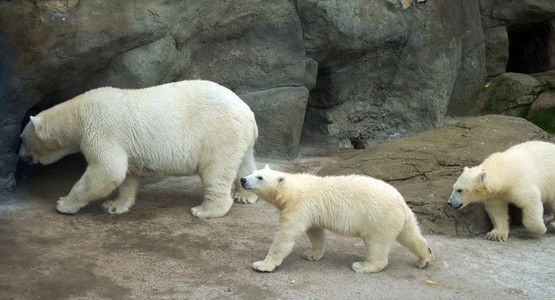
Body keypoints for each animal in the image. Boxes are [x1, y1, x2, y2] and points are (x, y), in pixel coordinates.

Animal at [18, 79, 258, 218]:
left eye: (22, 139)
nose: (20, 158)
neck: (78, 113)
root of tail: (247, 111)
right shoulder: (126, 143)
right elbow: (126, 174)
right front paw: (114, 205)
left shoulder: (101, 129)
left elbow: (107, 169)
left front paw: (63, 203)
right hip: (241, 137)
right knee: (245, 163)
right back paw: (245, 194)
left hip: (218, 132)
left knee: (216, 169)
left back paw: (205, 209)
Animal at [240, 165, 434, 274]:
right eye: (253, 172)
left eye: (259, 177)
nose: (242, 179)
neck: (293, 190)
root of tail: (400, 201)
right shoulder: (311, 211)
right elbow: (316, 232)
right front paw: (311, 254)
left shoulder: (299, 206)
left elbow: (285, 236)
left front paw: (262, 265)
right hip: (400, 217)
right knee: (411, 235)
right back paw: (424, 257)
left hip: (379, 217)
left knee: (377, 244)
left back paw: (362, 266)